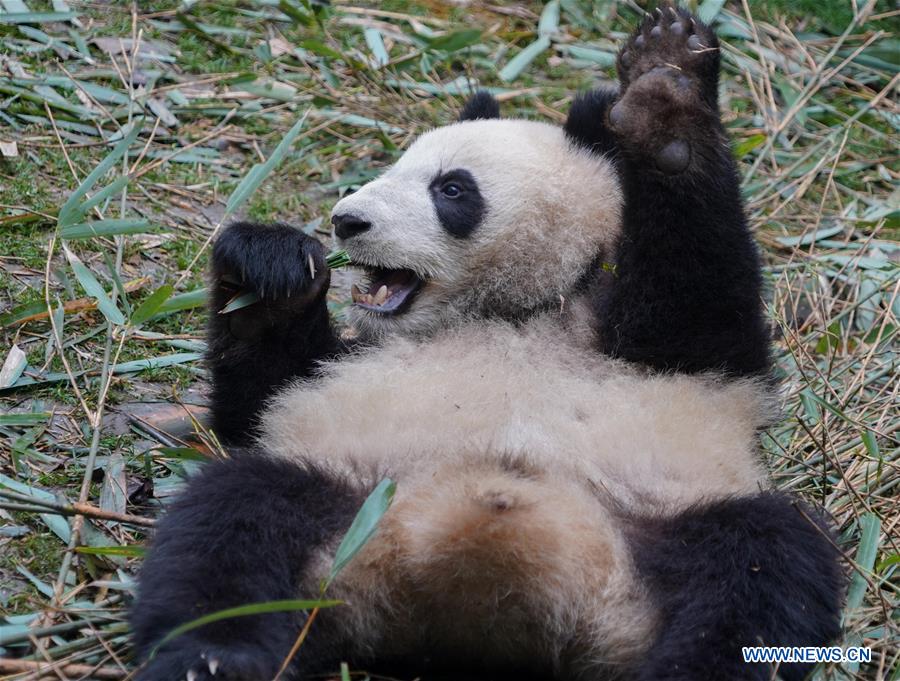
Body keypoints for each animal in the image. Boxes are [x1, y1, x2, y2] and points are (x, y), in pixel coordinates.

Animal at [132, 9, 844, 681]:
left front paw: (665, 100)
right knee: (230, 526)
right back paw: (214, 656)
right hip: (343, 494)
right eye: (391, 168)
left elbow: (698, 303)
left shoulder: (678, 353)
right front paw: (271, 268)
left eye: (451, 188)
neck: (515, 308)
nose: (347, 220)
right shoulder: (344, 367)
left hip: (666, 522)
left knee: (761, 569)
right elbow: (259, 400)